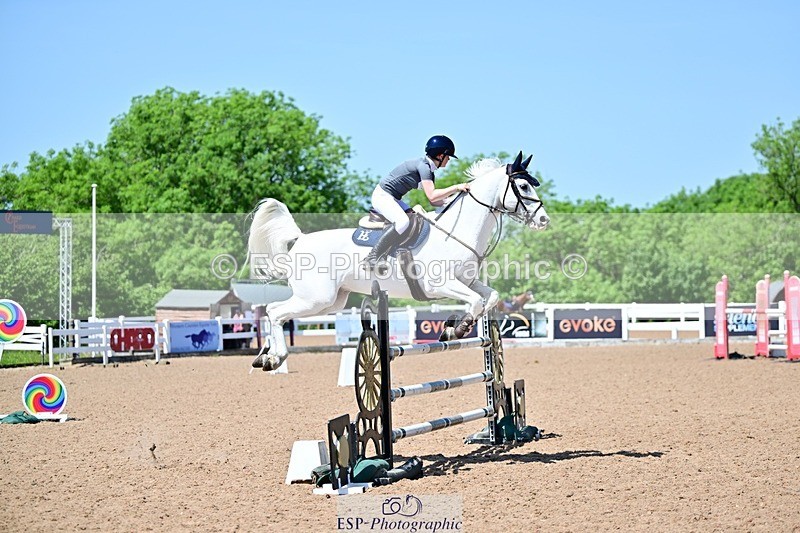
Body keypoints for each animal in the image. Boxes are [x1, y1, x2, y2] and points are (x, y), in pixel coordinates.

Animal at [248, 152, 550, 371]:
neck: (456, 232)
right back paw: (275, 358)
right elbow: (476, 302)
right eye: (523, 185)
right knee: (276, 312)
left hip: (330, 302)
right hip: (316, 298)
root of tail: (300, 240)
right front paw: (458, 329)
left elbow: (490, 297)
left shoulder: (468, 280)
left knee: (274, 310)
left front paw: (452, 326)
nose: (544, 220)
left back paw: (265, 356)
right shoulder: (440, 284)